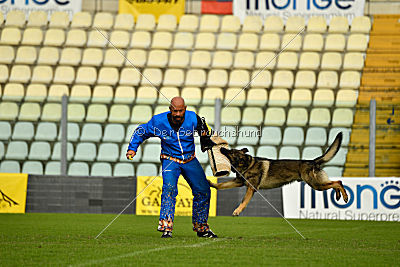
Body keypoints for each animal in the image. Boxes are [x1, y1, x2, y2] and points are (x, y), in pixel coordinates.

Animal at [208, 133, 348, 217]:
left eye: (230, 152)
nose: (221, 148)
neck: (247, 164)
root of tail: (312, 161)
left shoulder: (251, 188)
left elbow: (243, 201)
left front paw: (237, 211)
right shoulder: (238, 182)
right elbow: (221, 186)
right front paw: (211, 183)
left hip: (315, 184)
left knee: (338, 182)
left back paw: (345, 196)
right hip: (318, 183)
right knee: (334, 183)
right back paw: (338, 195)